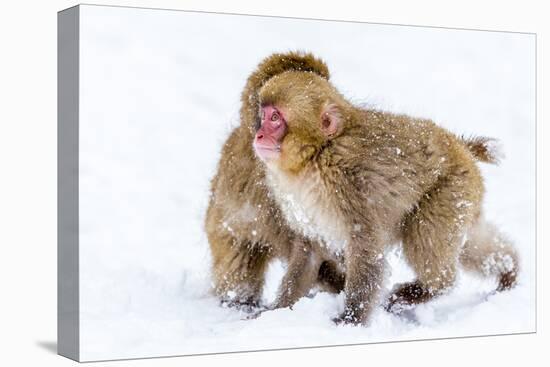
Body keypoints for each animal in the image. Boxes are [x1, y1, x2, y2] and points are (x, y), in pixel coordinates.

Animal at [254, 51, 520, 324]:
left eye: (275, 118)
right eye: (263, 116)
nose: (258, 135)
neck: (315, 156)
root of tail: (461, 147)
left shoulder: (348, 188)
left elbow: (367, 251)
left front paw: (349, 320)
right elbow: (308, 252)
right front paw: (276, 311)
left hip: (450, 190)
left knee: (427, 238)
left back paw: (429, 288)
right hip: (465, 198)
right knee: (469, 244)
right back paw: (508, 269)